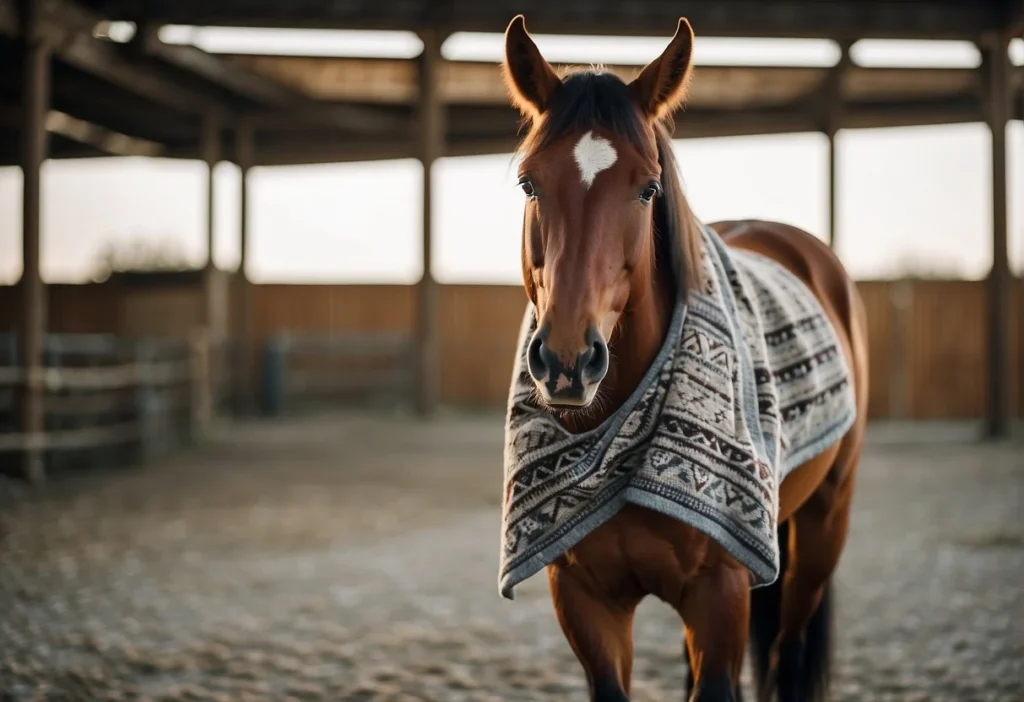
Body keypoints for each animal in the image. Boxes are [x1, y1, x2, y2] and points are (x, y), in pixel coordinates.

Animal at [499, 12, 868, 702]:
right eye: (529, 181)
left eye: (648, 188)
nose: (567, 360)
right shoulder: (584, 600)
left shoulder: (721, 593)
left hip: (822, 530)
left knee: (787, 653)